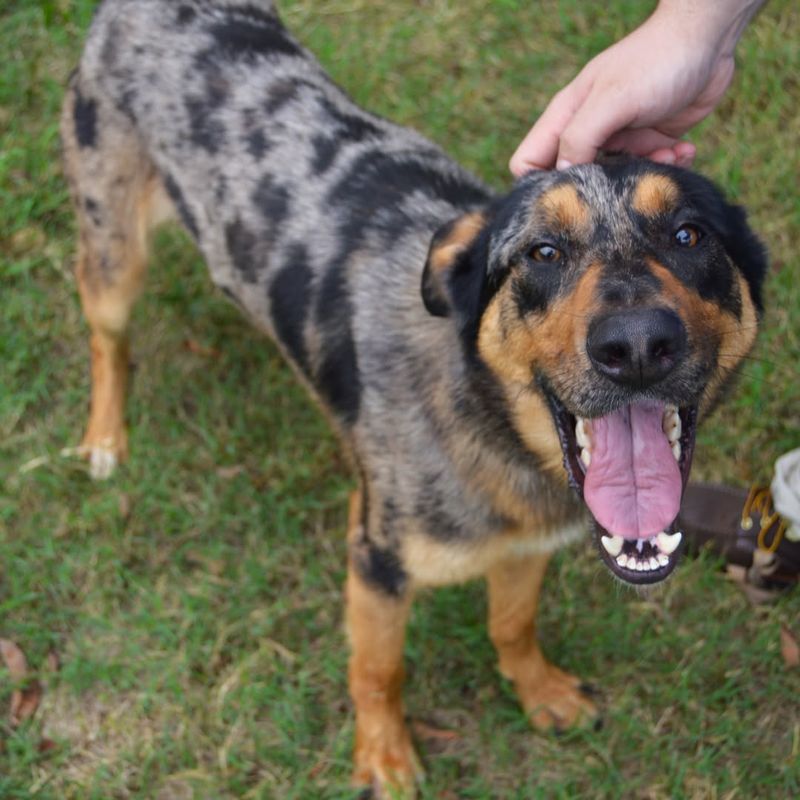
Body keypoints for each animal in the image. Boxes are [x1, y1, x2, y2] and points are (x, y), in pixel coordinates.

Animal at [61, 3, 764, 796]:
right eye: (542, 252)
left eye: (689, 235)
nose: (638, 346)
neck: (495, 432)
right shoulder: (376, 558)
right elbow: (379, 671)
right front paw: (385, 757)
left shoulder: (527, 545)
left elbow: (512, 624)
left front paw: (540, 692)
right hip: (113, 248)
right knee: (107, 339)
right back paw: (106, 439)